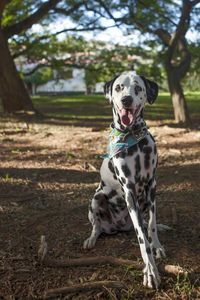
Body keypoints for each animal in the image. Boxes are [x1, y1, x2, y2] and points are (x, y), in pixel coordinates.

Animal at [83, 70, 166, 288]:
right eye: (118, 87)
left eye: (138, 88)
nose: (126, 99)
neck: (132, 139)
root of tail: (118, 227)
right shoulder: (129, 190)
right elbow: (142, 238)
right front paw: (150, 270)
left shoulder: (151, 186)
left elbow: (151, 224)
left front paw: (157, 245)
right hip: (97, 197)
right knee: (97, 226)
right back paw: (91, 238)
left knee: (145, 222)